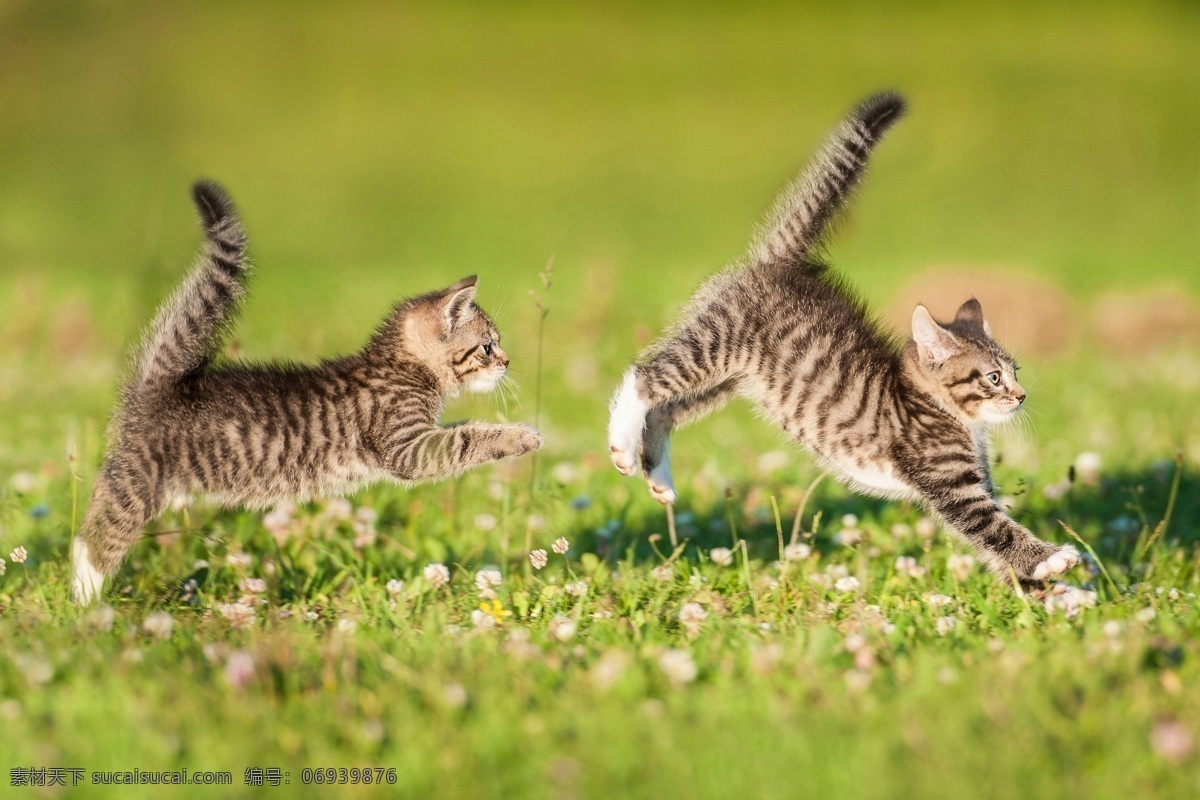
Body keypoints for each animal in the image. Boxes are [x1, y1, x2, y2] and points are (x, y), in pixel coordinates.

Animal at [72, 183, 542, 606]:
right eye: (487, 346)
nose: (508, 361)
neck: (401, 366)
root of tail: (162, 381)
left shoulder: (423, 435)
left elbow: (463, 426)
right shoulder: (407, 447)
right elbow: (465, 439)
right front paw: (521, 437)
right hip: (139, 480)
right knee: (95, 535)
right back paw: (83, 601)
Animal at [609, 94, 1080, 592]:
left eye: (1016, 372)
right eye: (993, 377)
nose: (1021, 396)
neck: (938, 408)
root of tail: (782, 263)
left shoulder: (972, 484)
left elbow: (994, 549)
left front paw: (1055, 596)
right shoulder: (953, 486)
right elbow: (996, 528)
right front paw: (1053, 560)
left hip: (731, 380)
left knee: (665, 408)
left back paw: (657, 474)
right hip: (714, 344)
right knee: (646, 377)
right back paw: (621, 445)